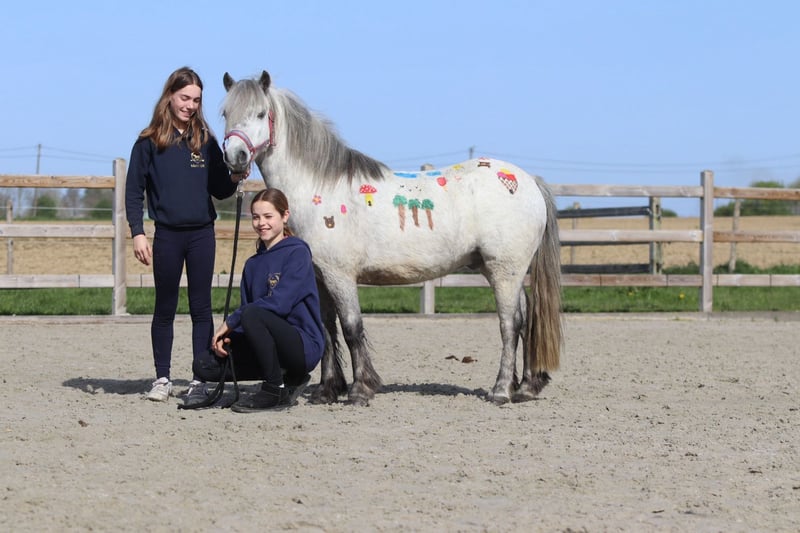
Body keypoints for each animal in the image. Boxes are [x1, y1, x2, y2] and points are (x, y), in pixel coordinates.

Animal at [220, 71, 563, 406]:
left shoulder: (340, 275)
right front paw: (327, 391)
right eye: (225, 113)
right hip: (506, 271)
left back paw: (501, 390)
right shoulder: (318, 278)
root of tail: (529, 181)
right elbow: (326, 329)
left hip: (504, 270)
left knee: (510, 324)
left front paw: (360, 390)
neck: (319, 189)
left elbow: (351, 327)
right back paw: (526, 386)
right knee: (525, 319)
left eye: (260, 113)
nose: (234, 156)